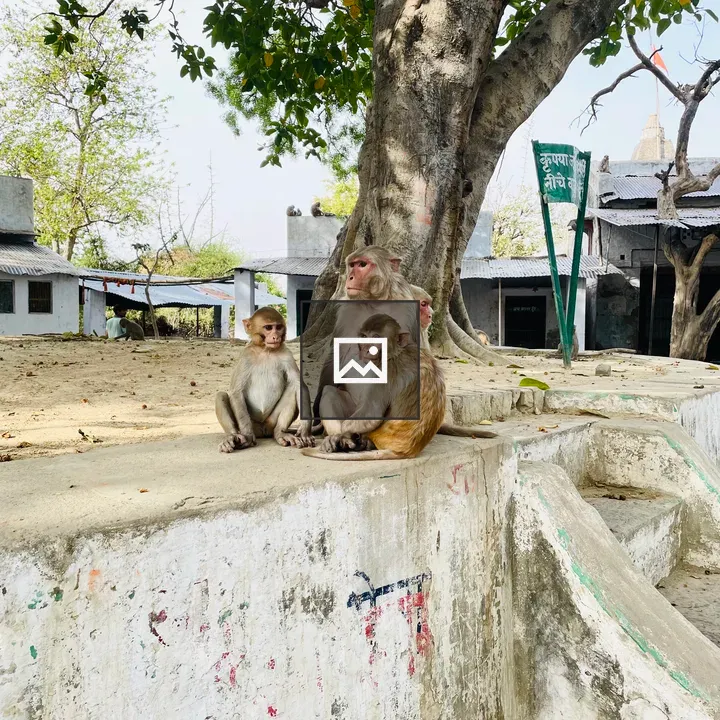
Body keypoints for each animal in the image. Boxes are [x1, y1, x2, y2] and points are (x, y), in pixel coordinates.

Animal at [215, 307, 314, 453]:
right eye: (268, 328)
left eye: (278, 327)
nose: (275, 336)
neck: (266, 350)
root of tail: (261, 430)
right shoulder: (245, 357)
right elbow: (236, 391)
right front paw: (247, 435)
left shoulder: (287, 355)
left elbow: (299, 385)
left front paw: (305, 430)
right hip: (253, 424)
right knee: (221, 395)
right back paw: (231, 437)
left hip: (270, 422)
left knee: (292, 389)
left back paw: (280, 433)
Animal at [302, 314, 445, 460]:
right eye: (364, 337)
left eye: (376, 338)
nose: (366, 349)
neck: (397, 352)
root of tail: (407, 450)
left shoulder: (386, 371)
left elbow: (371, 415)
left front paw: (338, 437)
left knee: (329, 392)